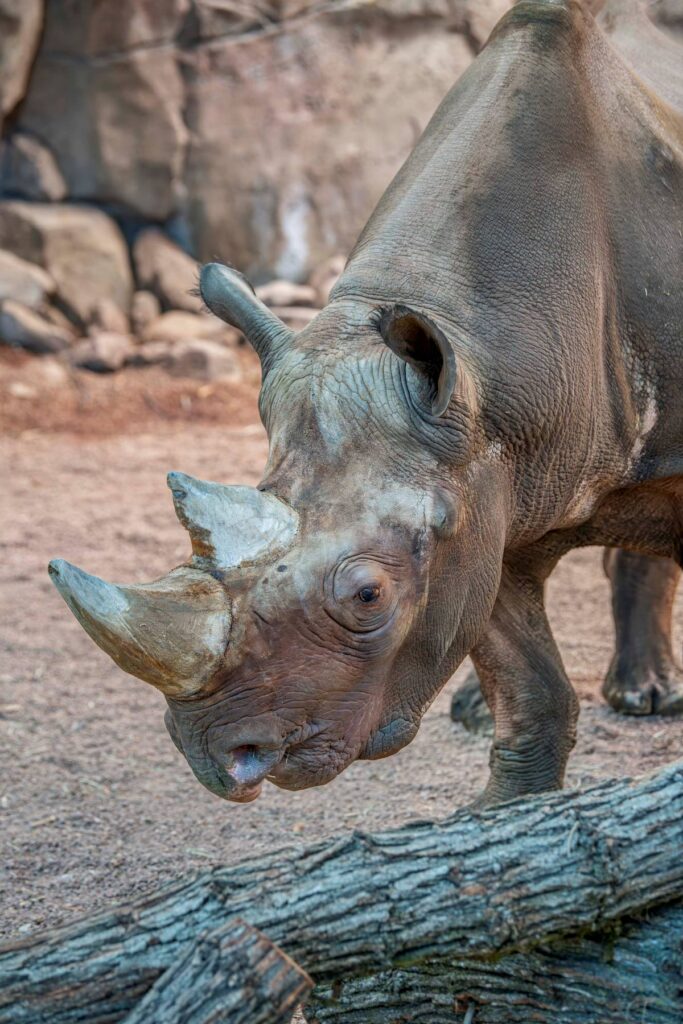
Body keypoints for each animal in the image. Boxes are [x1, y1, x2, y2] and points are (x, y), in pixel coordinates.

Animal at [50, 0, 682, 806]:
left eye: (368, 597)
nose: (213, 756)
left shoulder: (471, 462)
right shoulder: (483, 480)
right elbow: (525, 678)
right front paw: (501, 815)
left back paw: (646, 697)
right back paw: (480, 710)